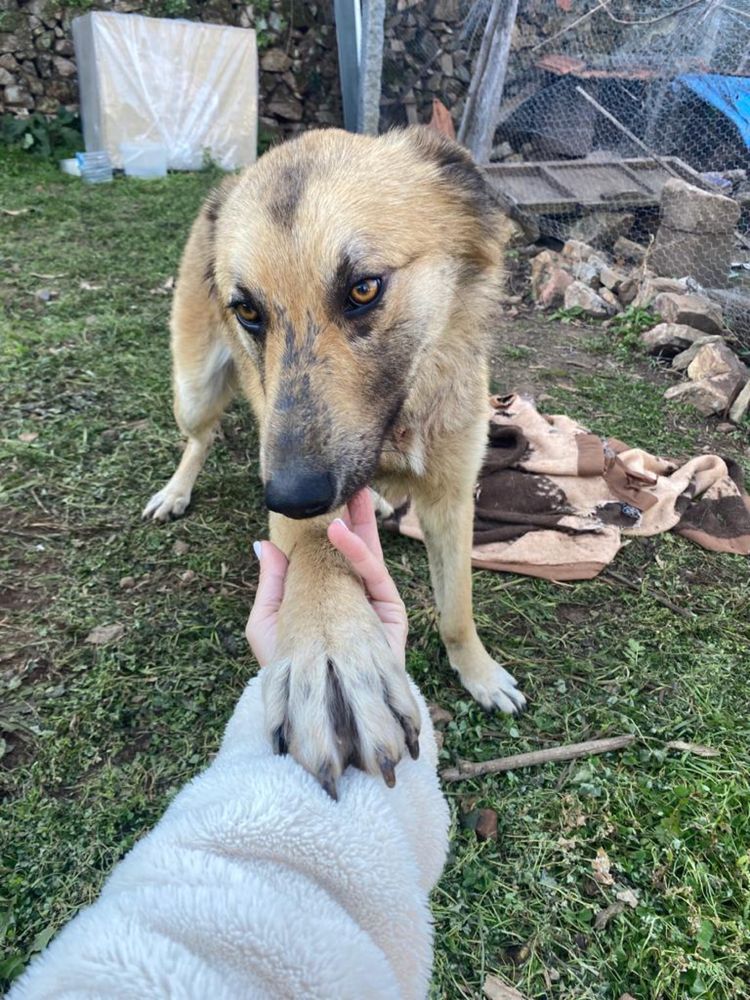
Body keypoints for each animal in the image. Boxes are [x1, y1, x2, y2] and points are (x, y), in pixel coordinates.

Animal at [144, 127, 524, 796]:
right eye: (248, 311)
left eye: (363, 288)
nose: (289, 496)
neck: (396, 426)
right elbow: (318, 553)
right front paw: (331, 654)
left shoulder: (452, 496)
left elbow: (457, 608)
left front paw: (477, 672)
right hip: (193, 388)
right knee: (199, 437)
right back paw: (177, 491)